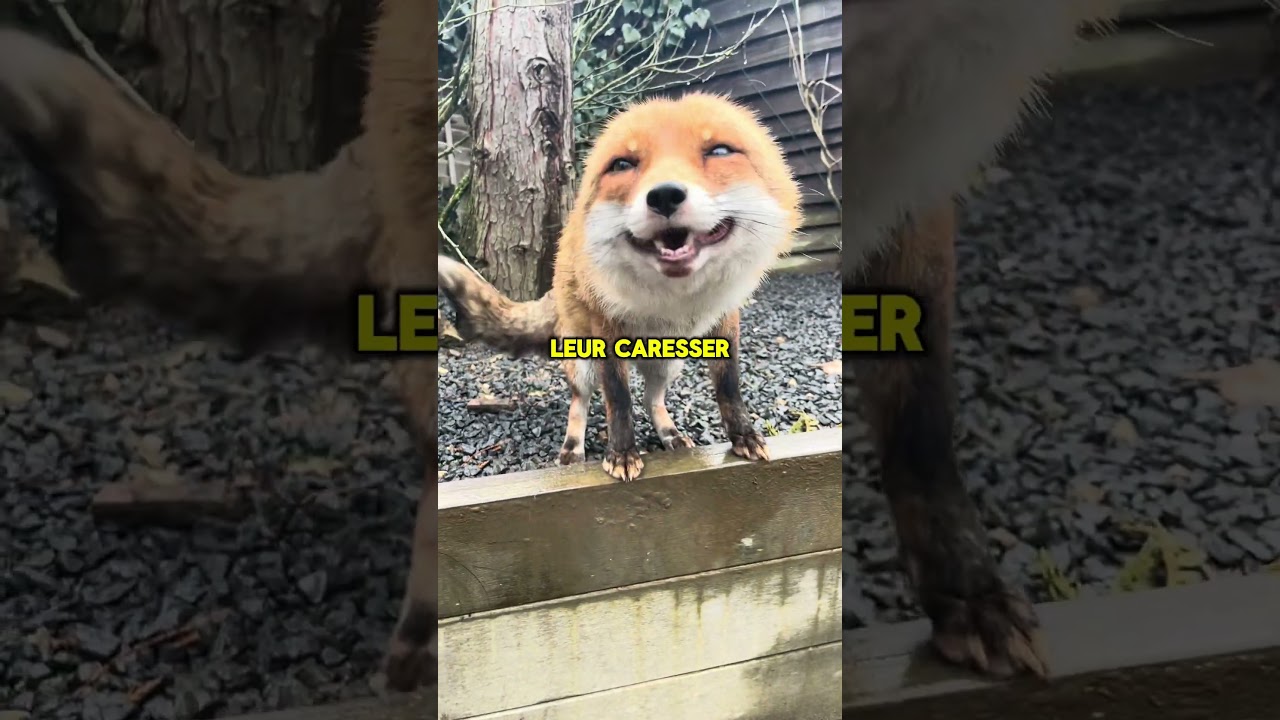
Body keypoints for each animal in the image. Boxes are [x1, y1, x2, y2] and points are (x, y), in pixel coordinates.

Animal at [438, 93, 802, 482]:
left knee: (652, 400)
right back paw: (573, 448)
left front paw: (743, 436)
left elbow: (729, 388)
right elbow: (618, 400)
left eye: (719, 151)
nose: (664, 195)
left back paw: (669, 434)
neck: (674, 300)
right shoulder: (606, 332)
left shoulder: (726, 321)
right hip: (582, 365)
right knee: (581, 403)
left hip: (667, 365)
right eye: (623, 164)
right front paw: (623, 453)